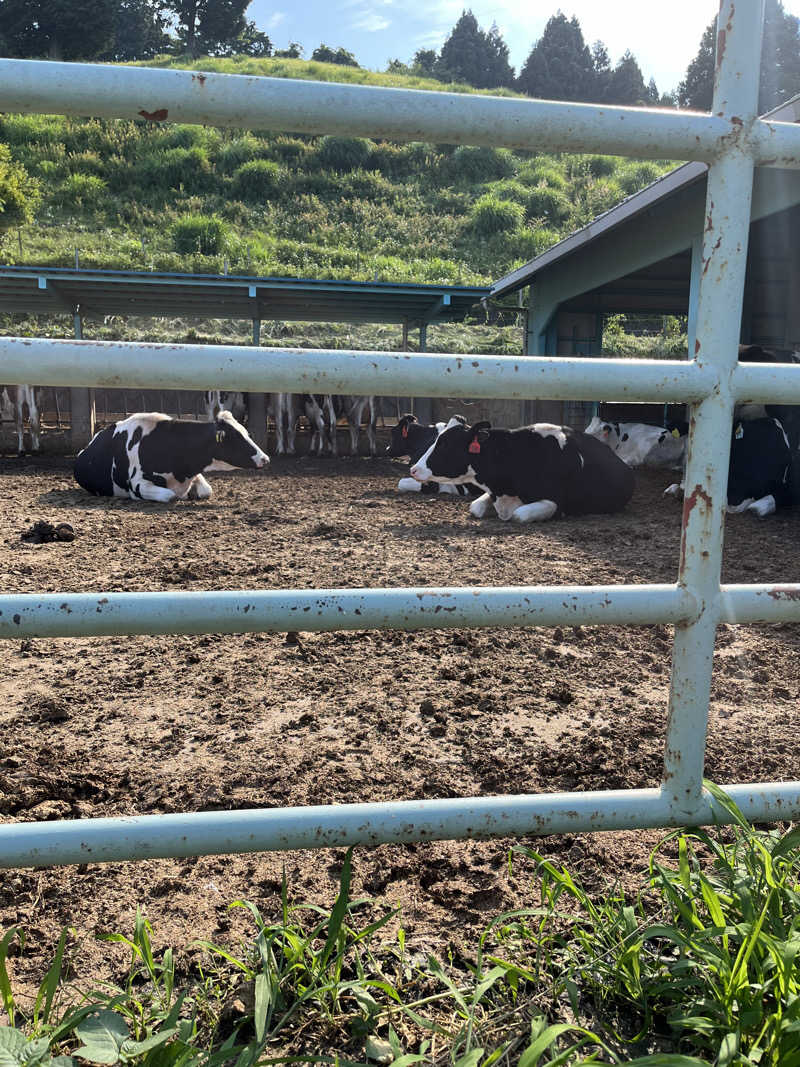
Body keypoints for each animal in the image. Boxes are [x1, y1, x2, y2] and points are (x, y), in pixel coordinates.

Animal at [75, 411, 269, 503]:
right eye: (236, 437)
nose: (265, 459)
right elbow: (171, 496)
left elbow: (206, 490)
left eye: (247, 433)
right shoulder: (137, 484)